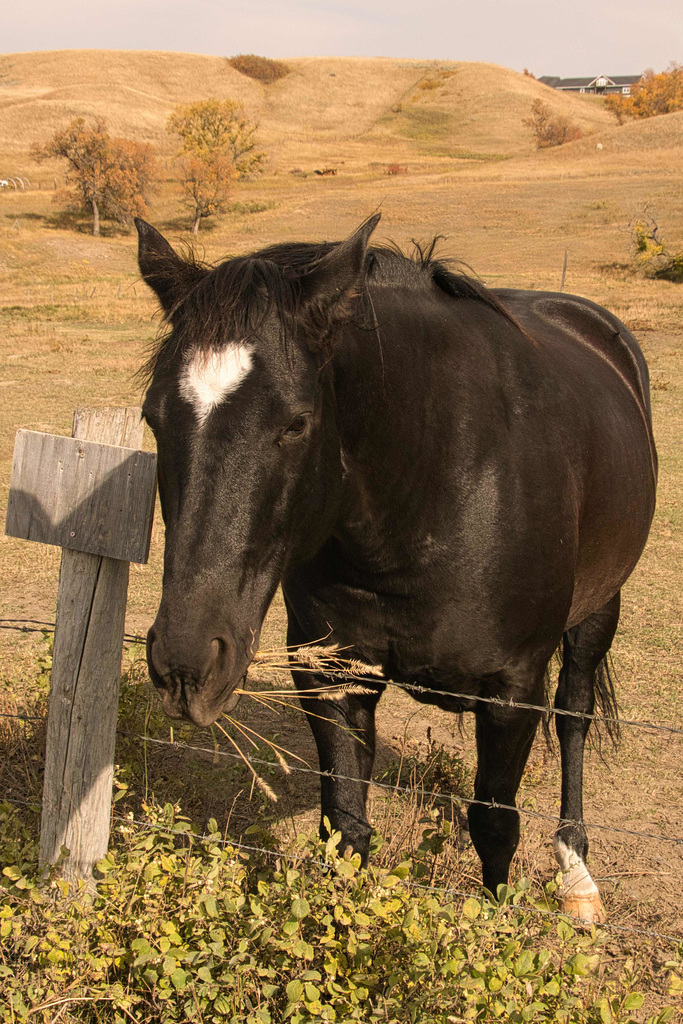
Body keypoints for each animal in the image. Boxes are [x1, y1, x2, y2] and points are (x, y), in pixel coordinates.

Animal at [135, 216, 655, 921]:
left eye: (297, 424)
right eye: (153, 416)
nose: (185, 666)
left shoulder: (512, 692)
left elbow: (495, 826)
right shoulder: (332, 675)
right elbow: (345, 825)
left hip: (599, 610)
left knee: (574, 717)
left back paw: (575, 870)